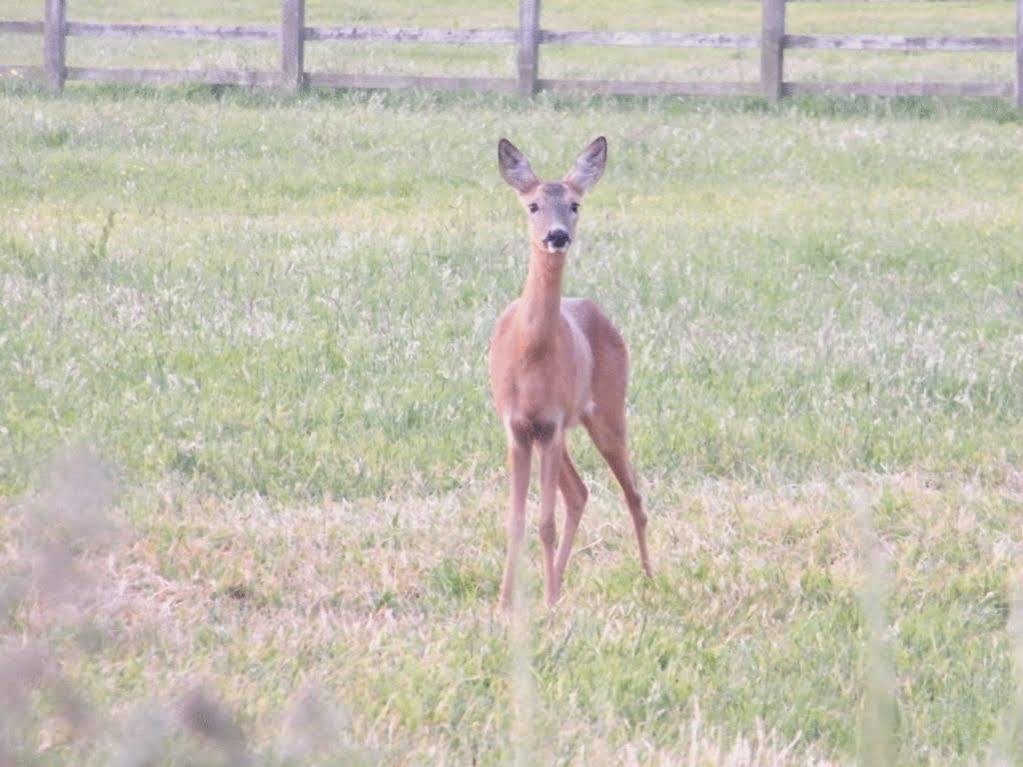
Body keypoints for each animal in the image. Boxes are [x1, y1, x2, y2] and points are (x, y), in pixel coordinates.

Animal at [484, 134, 646, 609]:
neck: (531, 356)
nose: (557, 236)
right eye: (533, 205)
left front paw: (548, 600)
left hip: (608, 411)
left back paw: (648, 577)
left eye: (575, 204)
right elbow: (517, 519)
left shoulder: (552, 423)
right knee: (580, 492)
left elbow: (545, 523)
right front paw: (506, 603)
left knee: (632, 494)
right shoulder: (518, 426)